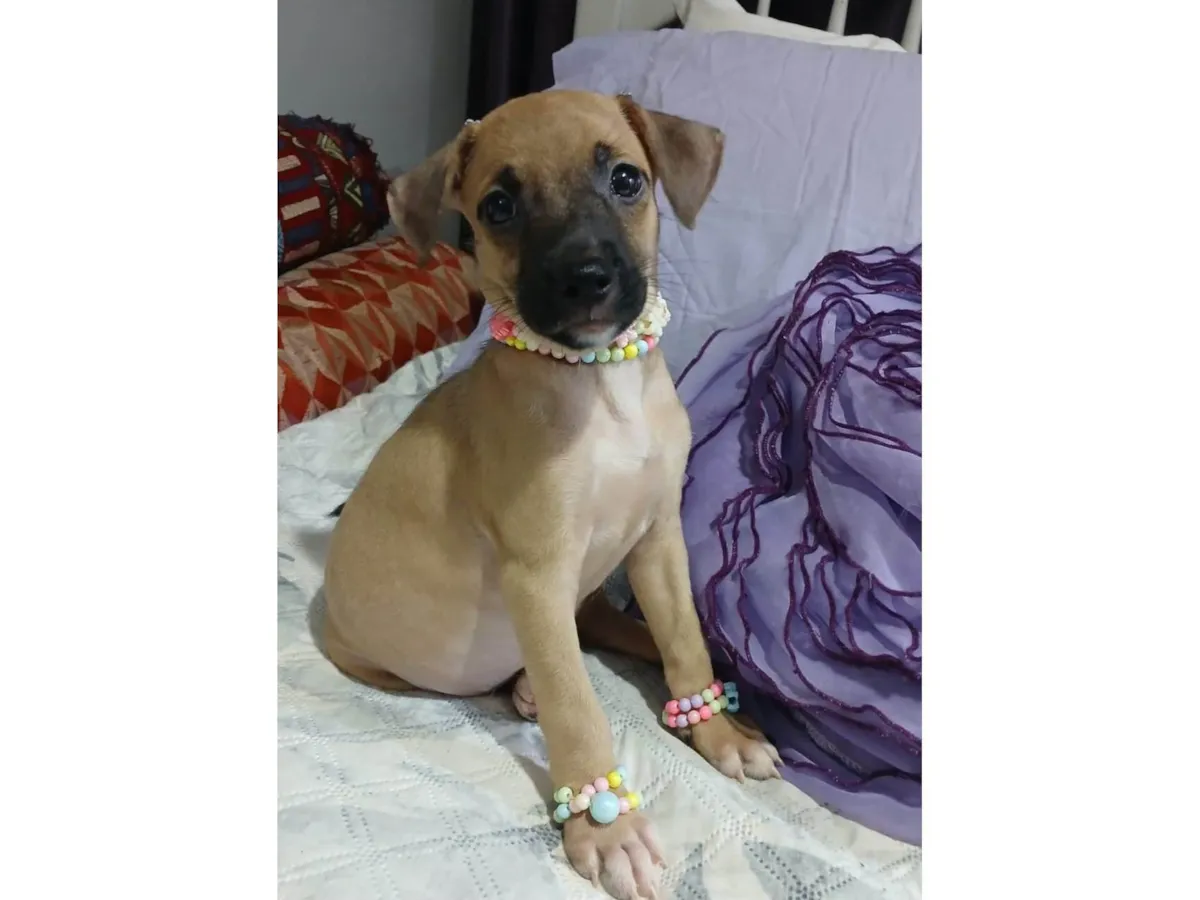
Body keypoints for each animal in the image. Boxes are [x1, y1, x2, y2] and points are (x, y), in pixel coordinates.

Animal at [323, 90, 780, 899]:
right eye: (498, 206)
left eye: (626, 179)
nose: (586, 277)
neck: (600, 382)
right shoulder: (537, 576)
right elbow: (576, 707)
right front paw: (609, 828)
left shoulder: (657, 539)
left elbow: (685, 643)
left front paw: (716, 732)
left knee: (615, 628)